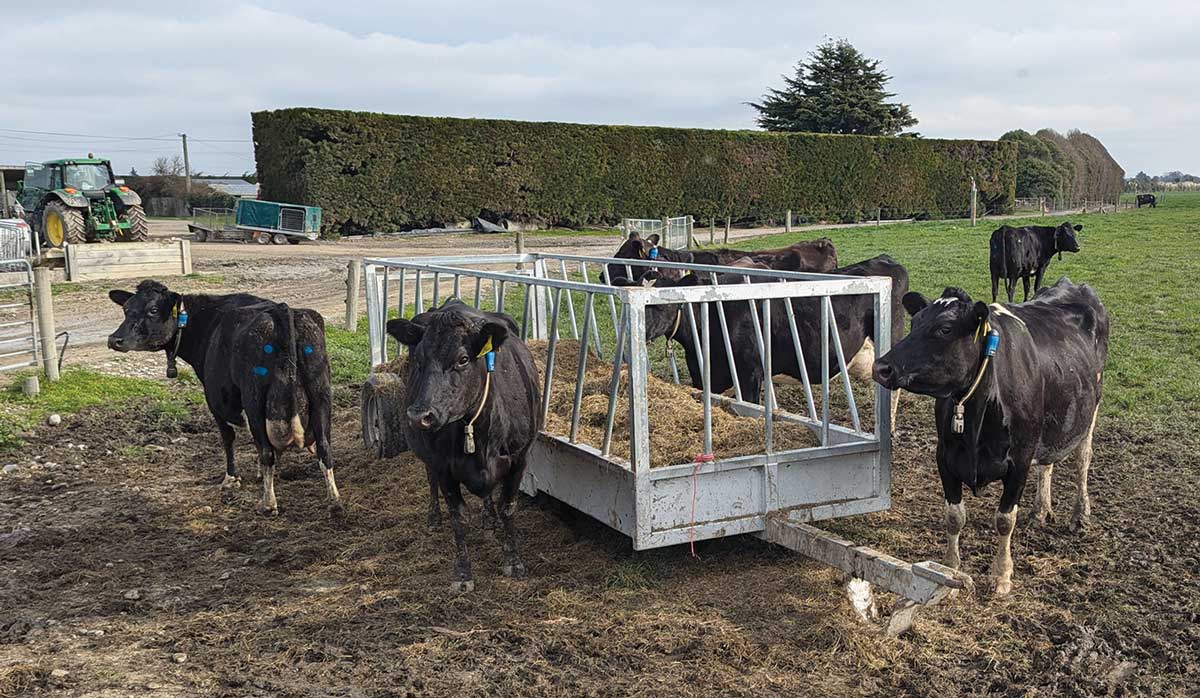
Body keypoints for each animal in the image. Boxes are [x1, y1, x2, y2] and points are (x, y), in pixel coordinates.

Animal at [106, 281, 338, 518]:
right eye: (126, 309)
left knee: (267, 451)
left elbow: (229, 438)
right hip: (320, 391)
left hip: (254, 399)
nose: (114, 339)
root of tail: (281, 309)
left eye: (153, 310)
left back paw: (268, 504)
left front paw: (231, 478)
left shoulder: (215, 400)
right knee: (324, 447)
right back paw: (334, 501)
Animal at [386, 303, 542, 594]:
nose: (419, 416)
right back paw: (434, 519)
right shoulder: (443, 466)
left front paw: (513, 562)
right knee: (430, 481)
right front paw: (462, 574)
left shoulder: (520, 458)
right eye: (419, 359)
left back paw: (489, 520)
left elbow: (508, 507)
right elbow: (458, 517)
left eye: (462, 359)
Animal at [868, 279, 1108, 597]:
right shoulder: (944, 457)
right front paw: (950, 568)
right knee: (1047, 463)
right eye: (915, 321)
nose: (881, 367)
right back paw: (1040, 510)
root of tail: (1071, 285)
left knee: (1083, 460)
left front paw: (1002, 575)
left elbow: (1005, 520)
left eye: (945, 329)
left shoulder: (1019, 461)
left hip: (1090, 410)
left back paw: (1080, 515)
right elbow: (954, 517)